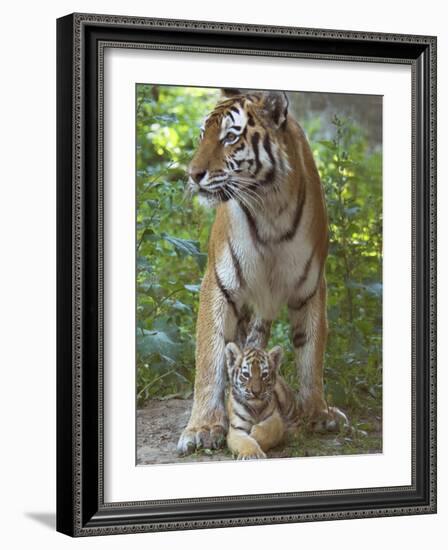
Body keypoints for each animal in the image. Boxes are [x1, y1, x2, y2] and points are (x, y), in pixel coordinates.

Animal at [178, 88, 346, 454]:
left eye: (229, 137)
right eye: (202, 135)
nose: (192, 174)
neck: (271, 207)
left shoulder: (312, 286)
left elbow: (311, 353)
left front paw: (317, 412)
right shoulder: (219, 283)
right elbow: (210, 357)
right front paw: (202, 428)